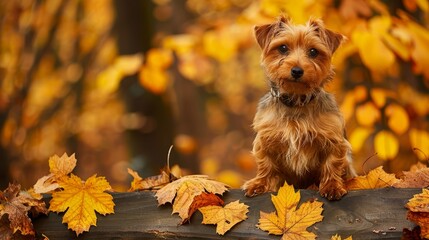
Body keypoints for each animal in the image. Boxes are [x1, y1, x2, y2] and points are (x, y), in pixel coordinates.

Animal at [241, 16, 354, 200]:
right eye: (283, 48)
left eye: (313, 52)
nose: (296, 70)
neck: (296, 101)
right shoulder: (265, 139)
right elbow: (265, 164)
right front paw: (258, 184)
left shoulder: (334, 139)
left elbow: (332, 163)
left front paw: (332, 186)